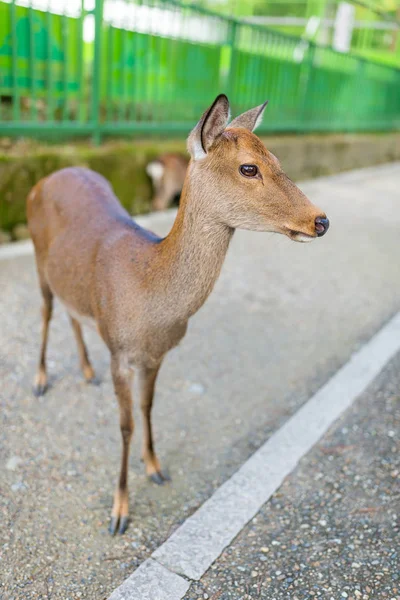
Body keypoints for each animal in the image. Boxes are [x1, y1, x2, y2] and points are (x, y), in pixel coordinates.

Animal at [26, 94, 330, 536]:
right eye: (249, 167)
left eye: (276, 158)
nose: (321, 220)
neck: (149, 294)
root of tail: (44, 178)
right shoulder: (120, 352)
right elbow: (125, 424)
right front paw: (120, 512)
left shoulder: (157, 355)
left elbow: (149, 407)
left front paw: (155, 467)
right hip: (38, 256)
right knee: (47, 311)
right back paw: (40, 380)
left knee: (71, 312)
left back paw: (85, 370)